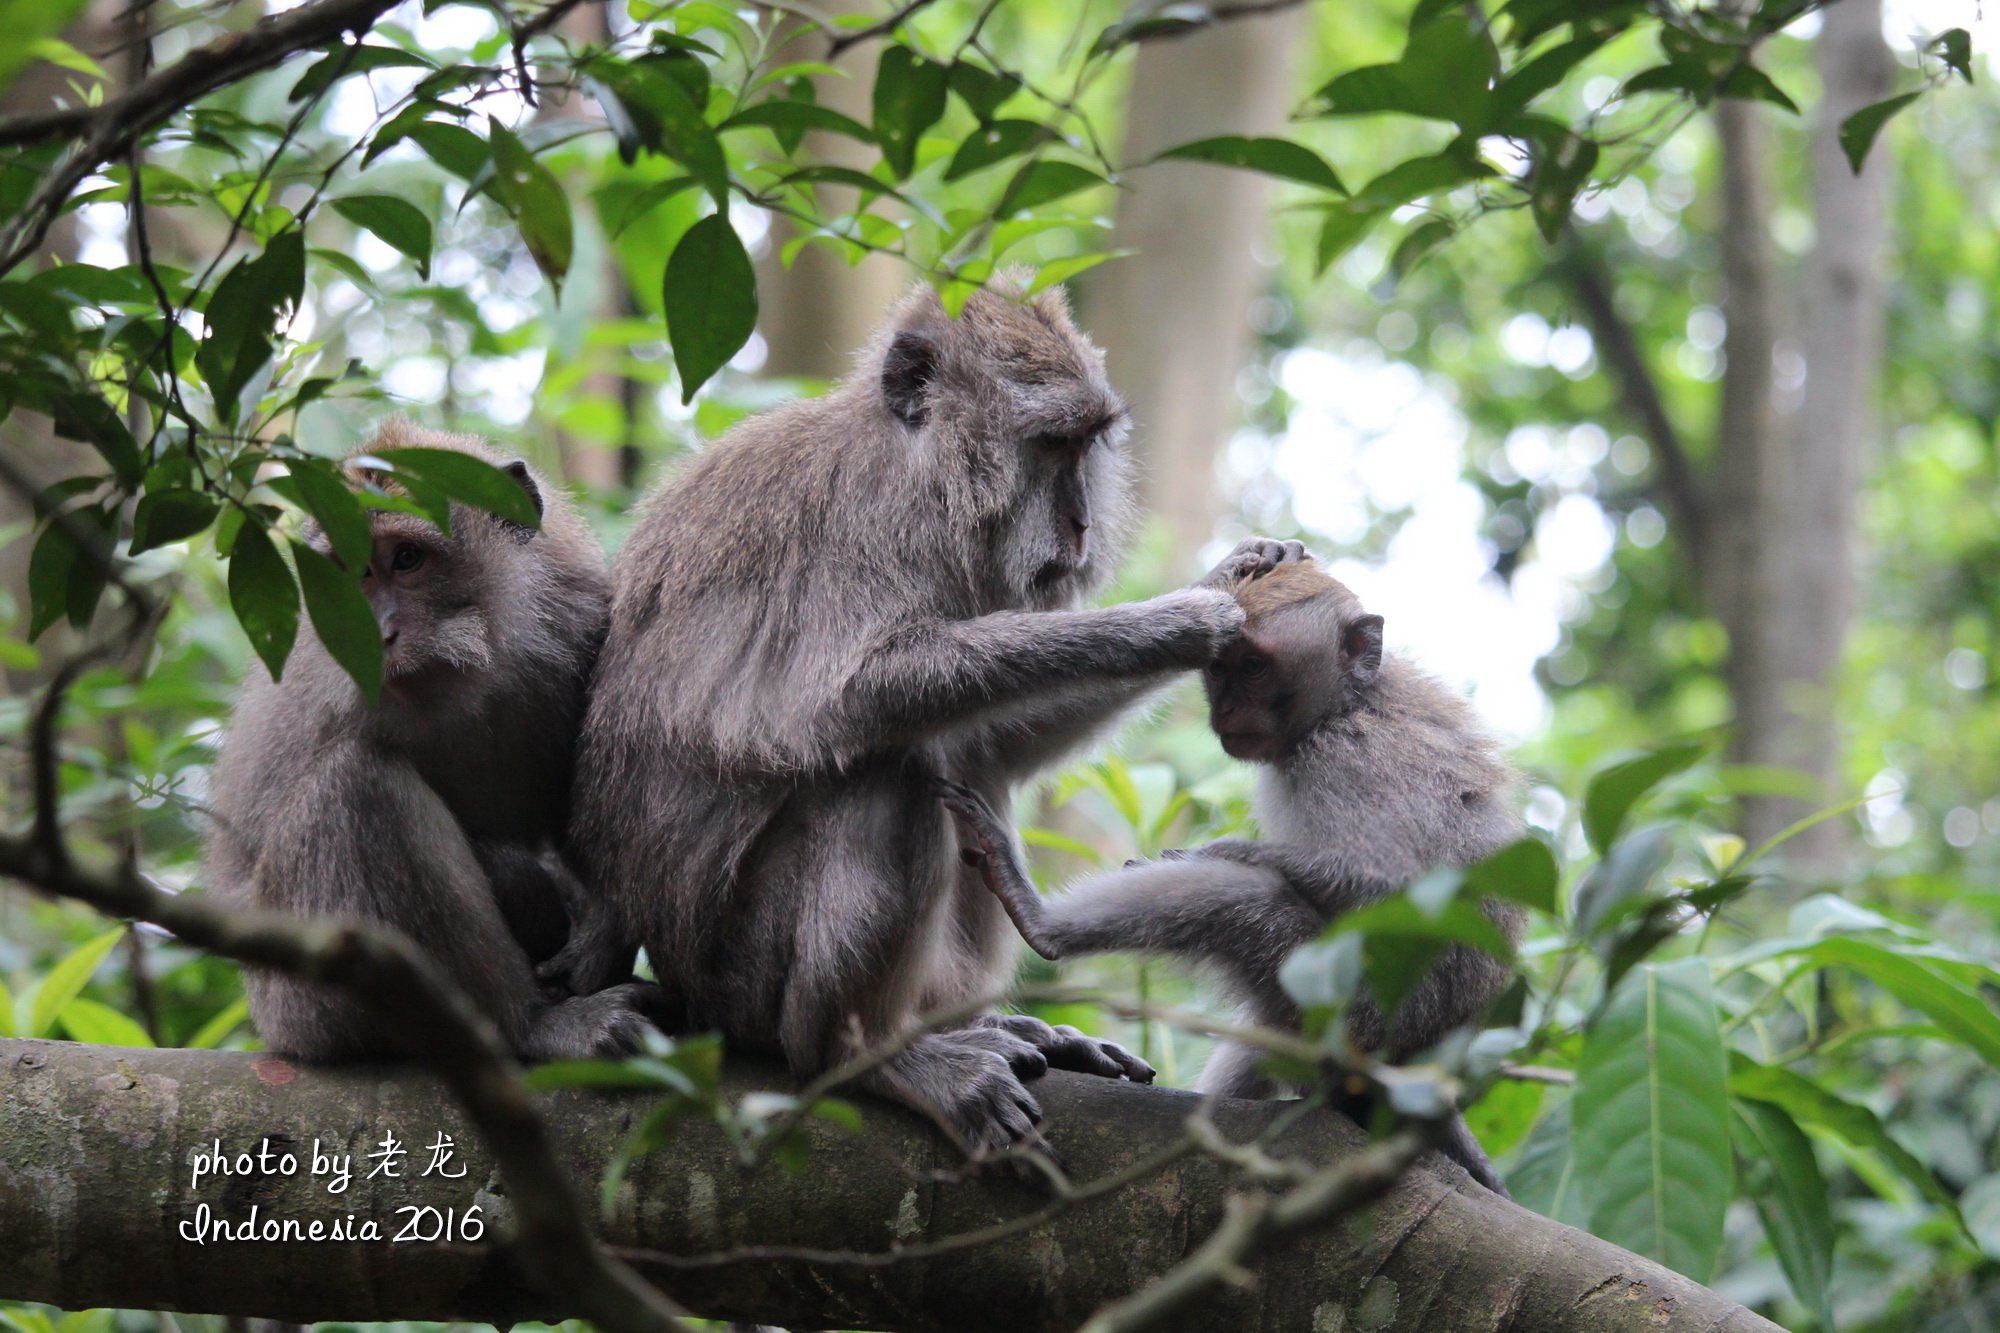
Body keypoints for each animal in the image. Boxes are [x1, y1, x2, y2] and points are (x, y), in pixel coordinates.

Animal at [215, 420, 660, 1056]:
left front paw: (604, 926)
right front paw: (519, 878)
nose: (376, 635)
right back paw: (528, 1025)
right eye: (351, 573)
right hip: (302, 1009)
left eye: (407, 558)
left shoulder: (582, 621)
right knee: (356, 786)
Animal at [564, 286, 1248, 1160]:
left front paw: (1230, 574)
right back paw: (869, 1057)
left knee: (961, 769)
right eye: (1051, 444)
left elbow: (990, 739)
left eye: (1087, 444)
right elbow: (846, 697)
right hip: (742, 978)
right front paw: (1178, 621)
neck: (923, 471)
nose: (1082, 525)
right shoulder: (863, 527)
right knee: (887, 778)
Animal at [944, 544, 1520, 1184]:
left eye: (1255, 667)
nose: (1227, 707)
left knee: (1252, 901)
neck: (1344, 704)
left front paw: (1214, 851)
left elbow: (1390, 889)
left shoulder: (1350, 757)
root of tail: (1420, 1066)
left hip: (1351, 1021)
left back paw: (1041, 921)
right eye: (1220, 667)